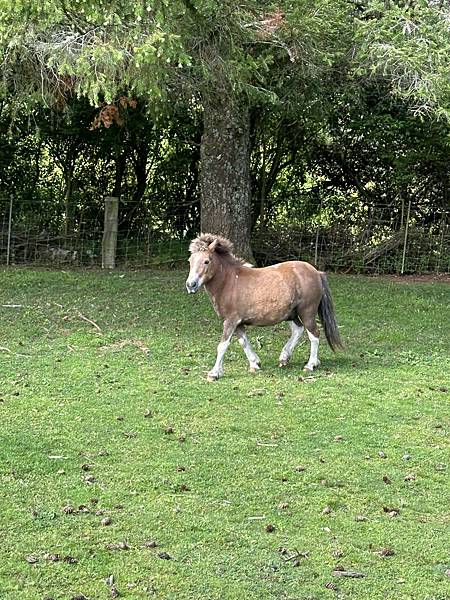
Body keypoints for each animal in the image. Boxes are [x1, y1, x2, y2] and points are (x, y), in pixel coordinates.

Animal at [185, 233, 342, 380]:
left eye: (206, 261)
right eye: (190, 261)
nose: (191, 285)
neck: (229, 282)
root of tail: (316, 272)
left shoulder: (230, 321)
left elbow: (222, 346)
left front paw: (214, 373)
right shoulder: (238, 323)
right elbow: (243, 342)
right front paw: (255, 364)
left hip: (307, 312)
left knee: (314, 335)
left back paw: (310, 365)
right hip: (291, 314)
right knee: (298, 330)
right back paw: (285, 358)